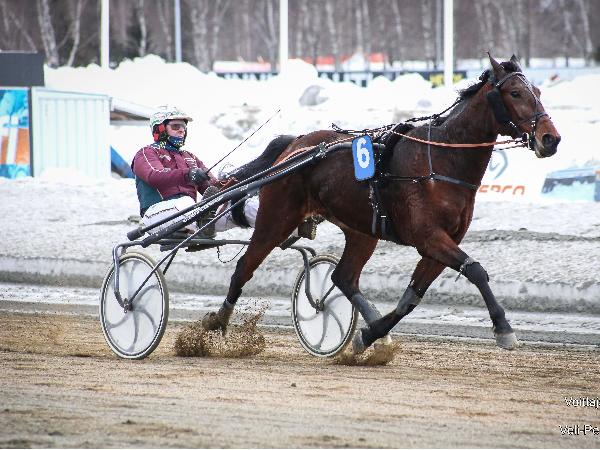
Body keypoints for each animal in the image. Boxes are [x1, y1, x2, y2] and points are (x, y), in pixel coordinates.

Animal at [202, 54, 561, 354]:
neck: (441, 159)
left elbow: (411, 299)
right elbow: (475, 270)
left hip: (362, 229)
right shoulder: (428, 236)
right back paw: (216, 324)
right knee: (244, 267)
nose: (551, 139)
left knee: (343, 278)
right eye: (515, 93)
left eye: (539, 90)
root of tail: (295, 145)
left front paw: (369, 335)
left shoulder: (442, 241)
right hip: (277, 217)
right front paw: (504, 328)